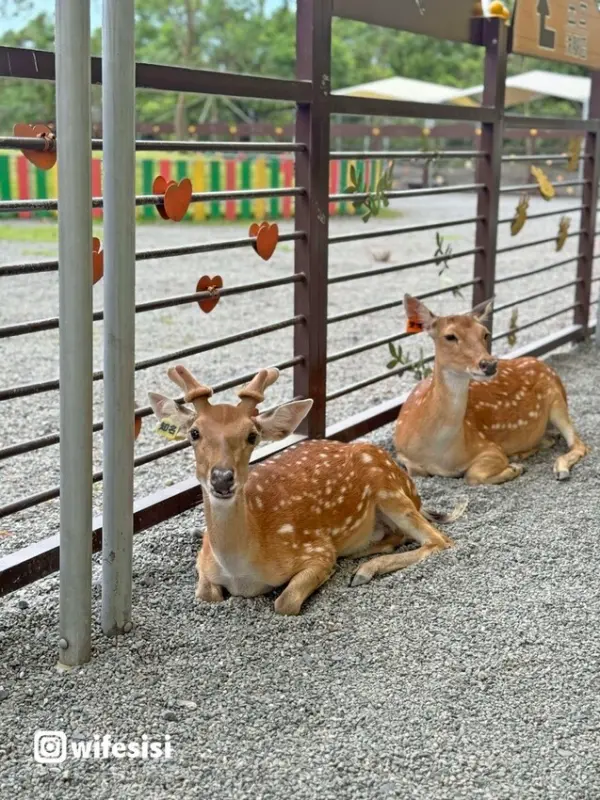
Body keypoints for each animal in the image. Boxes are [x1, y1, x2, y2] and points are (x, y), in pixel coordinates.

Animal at [148, 364, 465, 616]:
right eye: (194, 433)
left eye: (252, 435)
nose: (222, 478)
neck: (241, 571)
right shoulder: (203, 560)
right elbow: (205, 595)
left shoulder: (316, 549)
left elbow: (285, 602)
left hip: (389, 489)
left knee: (439, 540)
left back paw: (364, 570)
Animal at [394, 294, 589, 485]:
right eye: (450, 336)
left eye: (485, 334)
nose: (489, 364)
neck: (438, 452)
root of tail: (546, 366)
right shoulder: (402, 454)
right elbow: (417, 472)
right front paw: (515, 466)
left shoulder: (488, 447)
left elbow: (473, 475)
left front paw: (514, 469)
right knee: (551, 439)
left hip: (557, 401)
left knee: (579, 444)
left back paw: (559, 469)